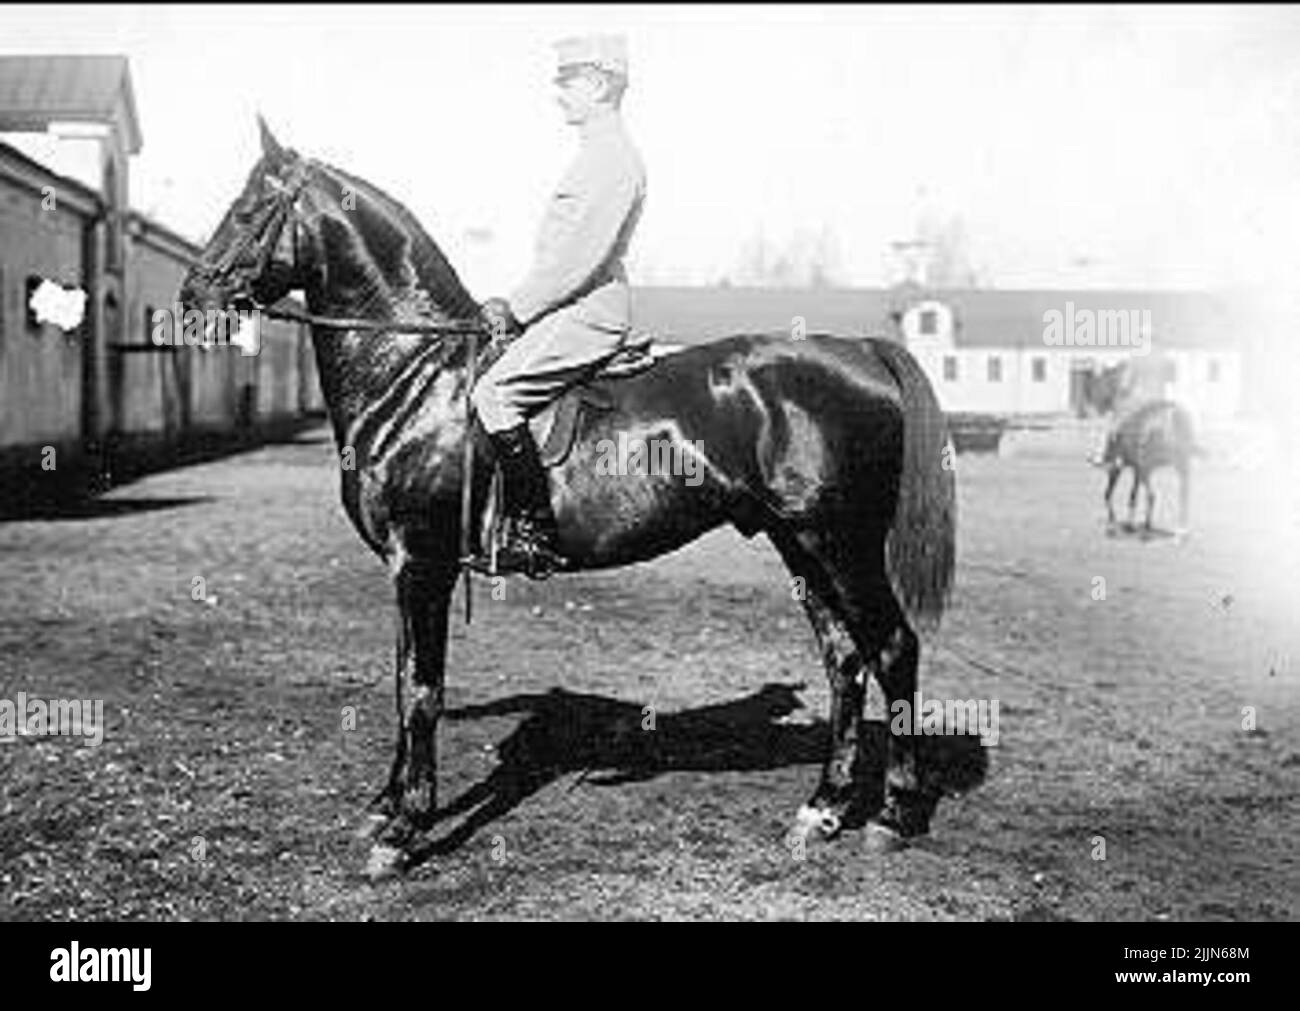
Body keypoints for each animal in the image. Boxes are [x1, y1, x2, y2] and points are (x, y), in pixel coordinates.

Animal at [179, 120, 957, 881]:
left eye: (246, 211)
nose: (193, 297)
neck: (419, 376)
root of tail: (861, 349)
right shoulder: (406, 568)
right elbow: (405, 680)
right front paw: (383, 808)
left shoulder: (422, 562)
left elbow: (424, 691)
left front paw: (402, 833)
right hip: (799, 545)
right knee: (844, 660)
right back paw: (821, 810)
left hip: (842, 544)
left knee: (893, 648)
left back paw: (890, 816)